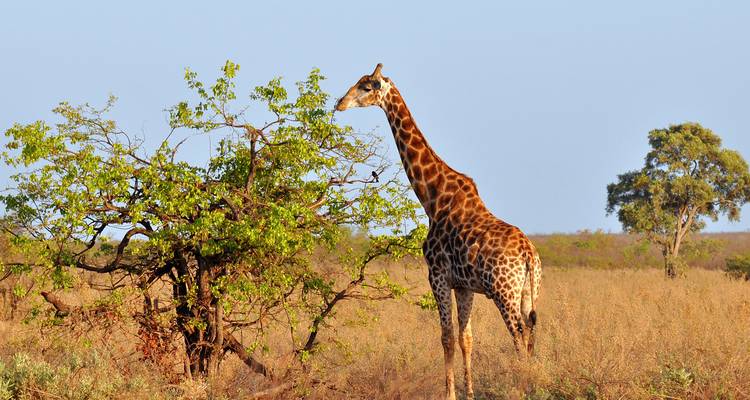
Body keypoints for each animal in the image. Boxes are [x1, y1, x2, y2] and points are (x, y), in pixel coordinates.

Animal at [335, 64, 542, 400]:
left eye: (366, 87)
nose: (340, 103)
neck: (433, 199)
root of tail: (528, 254)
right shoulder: (464, 285)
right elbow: (465, 338)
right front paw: (469, 394)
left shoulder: (437, 275)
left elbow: (445, 337)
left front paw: (450, 394)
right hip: (529, 291)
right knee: (531, 330)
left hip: (503, 291)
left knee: (519, 335)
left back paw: (522, 388)